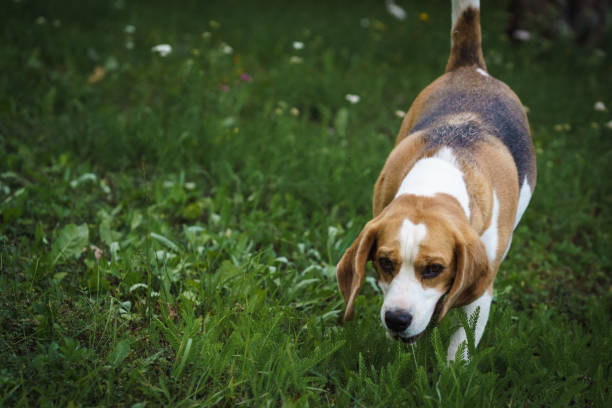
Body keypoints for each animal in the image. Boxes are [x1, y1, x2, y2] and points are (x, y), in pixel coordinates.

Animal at [334, 0, 536, 360]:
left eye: (433, 269)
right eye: (385, 262)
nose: (397, 319)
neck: (437, 177)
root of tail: (472, 68)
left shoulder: (481, 289)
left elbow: (461, 345)